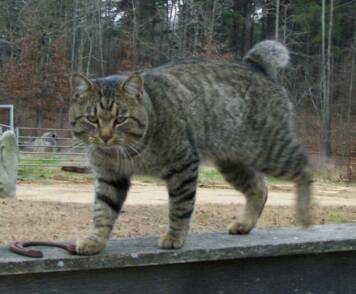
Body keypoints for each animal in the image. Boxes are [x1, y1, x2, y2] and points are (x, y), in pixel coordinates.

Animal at [69, 40, 312, 254]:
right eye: (92, 119)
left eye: (120, 119)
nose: (105, 137)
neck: (130, 153)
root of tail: (254, 65)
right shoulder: (110, 176)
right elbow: (103, 210)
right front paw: (95, 240)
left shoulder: (183, 165)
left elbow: (180, 207)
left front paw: (174, 237)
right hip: (233, 164)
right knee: (260, 187)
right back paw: (245, 223)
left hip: (270, 152)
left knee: (305, 167)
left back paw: (305, 214)